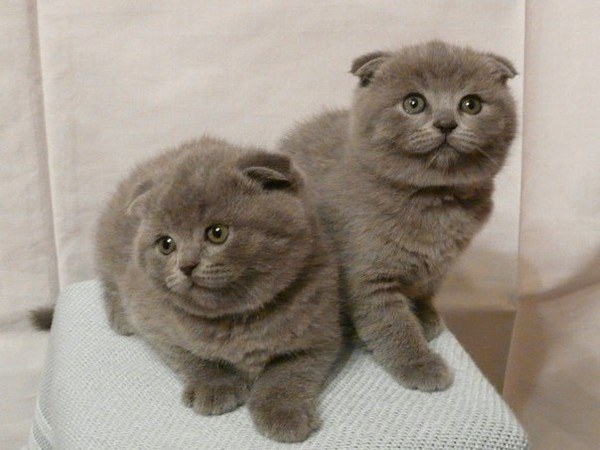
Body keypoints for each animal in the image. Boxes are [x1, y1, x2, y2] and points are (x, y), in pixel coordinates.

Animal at [96, 138, 344, 442]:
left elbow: (289, 372)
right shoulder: (153, 319)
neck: (237, 320)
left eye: (217, 233)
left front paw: (284, 414)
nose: (186, 265)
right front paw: (215, 386)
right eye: (166, 244)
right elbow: (190, 356)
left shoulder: (322, 331)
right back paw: (119, 318)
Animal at [278, 43, 516, 394]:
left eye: (470, 104)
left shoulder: (440, 264)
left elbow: (425, 289)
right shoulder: (367, 271)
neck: (433, 201)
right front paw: (419, 364)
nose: (446, 123)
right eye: (413, 103)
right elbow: (390, 323)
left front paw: (426, 316)